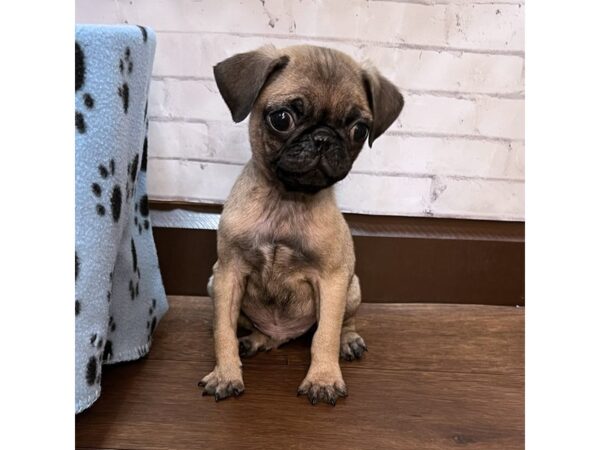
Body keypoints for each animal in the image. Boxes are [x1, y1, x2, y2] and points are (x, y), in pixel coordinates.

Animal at [200, 44, 404, 404]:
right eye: (282, 119)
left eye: (359, 130)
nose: (323, 139)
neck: (287, 198)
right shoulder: (227, 275)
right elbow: (222, 331)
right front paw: (225, 374)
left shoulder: (333, 281)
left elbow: (324, 335)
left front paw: (323, 379)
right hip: (215, 284)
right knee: (264, 334)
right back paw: (254, 340)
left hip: (353, 287)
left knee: (342, 324)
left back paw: (348, 341)